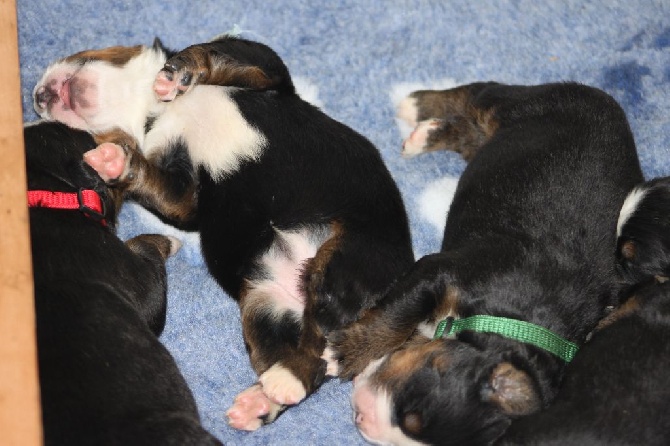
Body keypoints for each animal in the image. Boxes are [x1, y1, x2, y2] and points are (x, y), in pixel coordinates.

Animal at [26, 120, 220, 444]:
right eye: (87, 136)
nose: (121, 134)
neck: (44, 197)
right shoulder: (132, 276)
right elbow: (145, 250)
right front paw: (167, 241)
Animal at [330, 82, 644, 444]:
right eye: (411, 409)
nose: (362, 419)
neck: (510, 320)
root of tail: (607, 104)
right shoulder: (440, 272)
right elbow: (396, 315)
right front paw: (347, 353)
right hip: (521, 104)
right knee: (477, 93)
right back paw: (415, 105)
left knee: (471, 136)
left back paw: (427, 133)